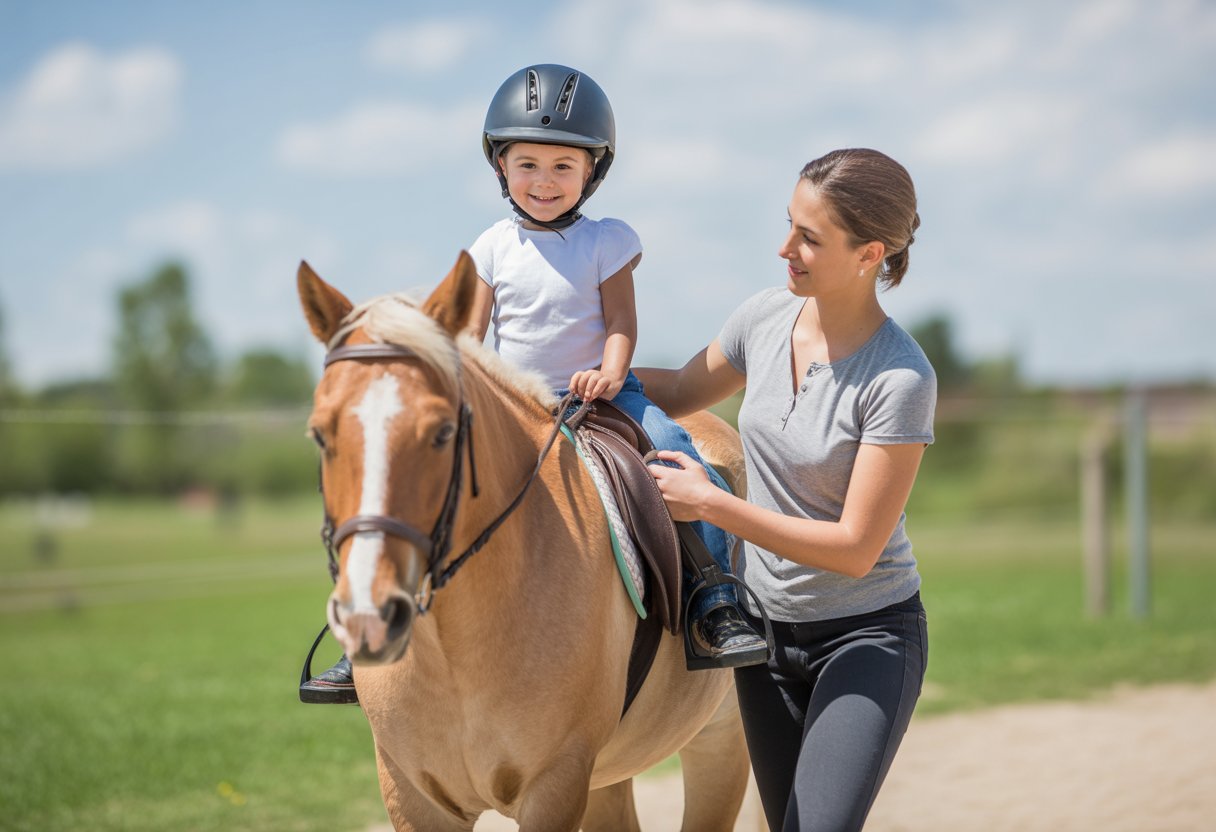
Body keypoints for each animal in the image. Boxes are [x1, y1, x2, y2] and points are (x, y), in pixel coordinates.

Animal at [297, 253, 751, 831]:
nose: (370, 617)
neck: (453, 651)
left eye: (443, 432)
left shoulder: (554, 785)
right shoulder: (412, 795)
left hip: (721, 739)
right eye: (320, 434)